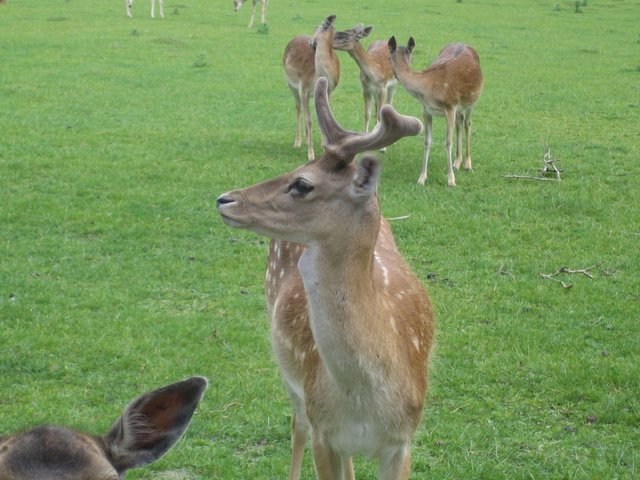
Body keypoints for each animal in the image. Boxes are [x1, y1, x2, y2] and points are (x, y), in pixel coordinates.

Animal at [216, 77, 434, 480]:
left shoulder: (403, 439)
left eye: (302, 184)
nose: (225, 199)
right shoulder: (324, 431)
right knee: (296, 425)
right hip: (293, 381)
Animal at [283, 15, 340, 162]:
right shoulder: (303, 89)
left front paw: (324, 147)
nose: (311, 42)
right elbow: (309, 120)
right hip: (291, 85)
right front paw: (311, 154)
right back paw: (298, 142)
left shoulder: (329, 92)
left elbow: (324, 116)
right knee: (298, 107)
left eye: (319, 26)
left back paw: (307, 138)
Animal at [388, 36, 483, 187]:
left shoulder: (450, 107)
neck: (429, 88)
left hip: (471, 101)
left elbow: (448, 142)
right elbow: (427, 141)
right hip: (458, 107)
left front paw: (451, 181)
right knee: (460, 122)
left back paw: (468, 164)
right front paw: (421, 178)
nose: (394, 75)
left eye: (412, 58)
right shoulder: (427, 110)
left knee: (468, 124)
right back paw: (457, 163)